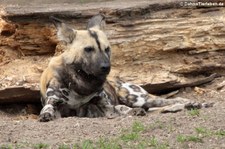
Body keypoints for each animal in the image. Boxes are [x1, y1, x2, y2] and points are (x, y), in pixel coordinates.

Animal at [39, 14, 211, 121]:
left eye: (107, 49)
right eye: (88, 49)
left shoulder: (107, 107)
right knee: (158, 108)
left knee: (167, 101)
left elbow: (120, 109)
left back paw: (192, 104)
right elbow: (48, 109)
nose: (106, 67)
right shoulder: (55, 103)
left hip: (138, 99)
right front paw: (46, 115)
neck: (82, 84)